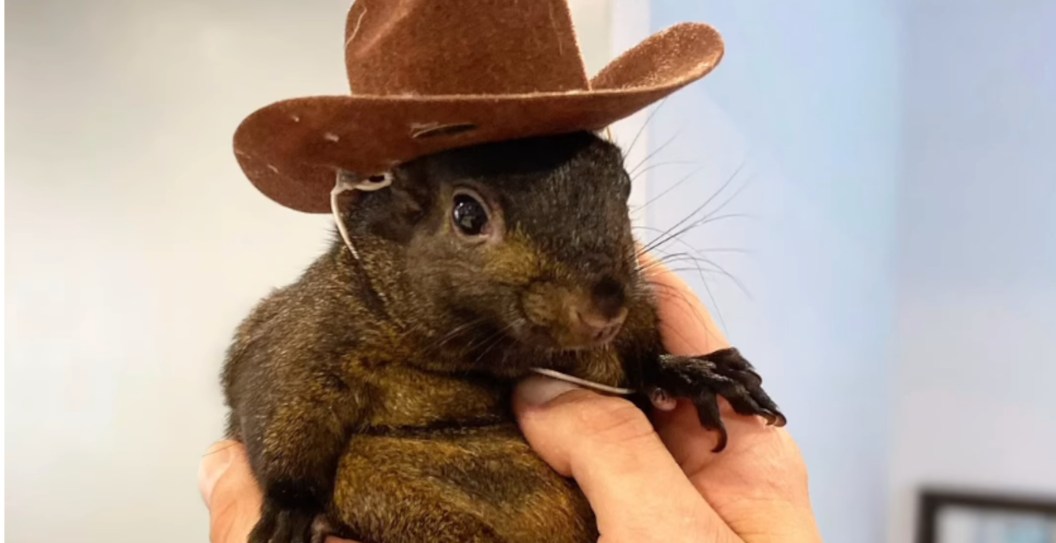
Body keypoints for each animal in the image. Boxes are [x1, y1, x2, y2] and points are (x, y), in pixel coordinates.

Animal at [220, 130, 786, 543]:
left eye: (623, 185)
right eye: (467, 214)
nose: (606, 307)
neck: (486, 353)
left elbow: (640, 362)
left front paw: (694, 373)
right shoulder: (308, 333)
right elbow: (278, 405)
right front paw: (291, 513)